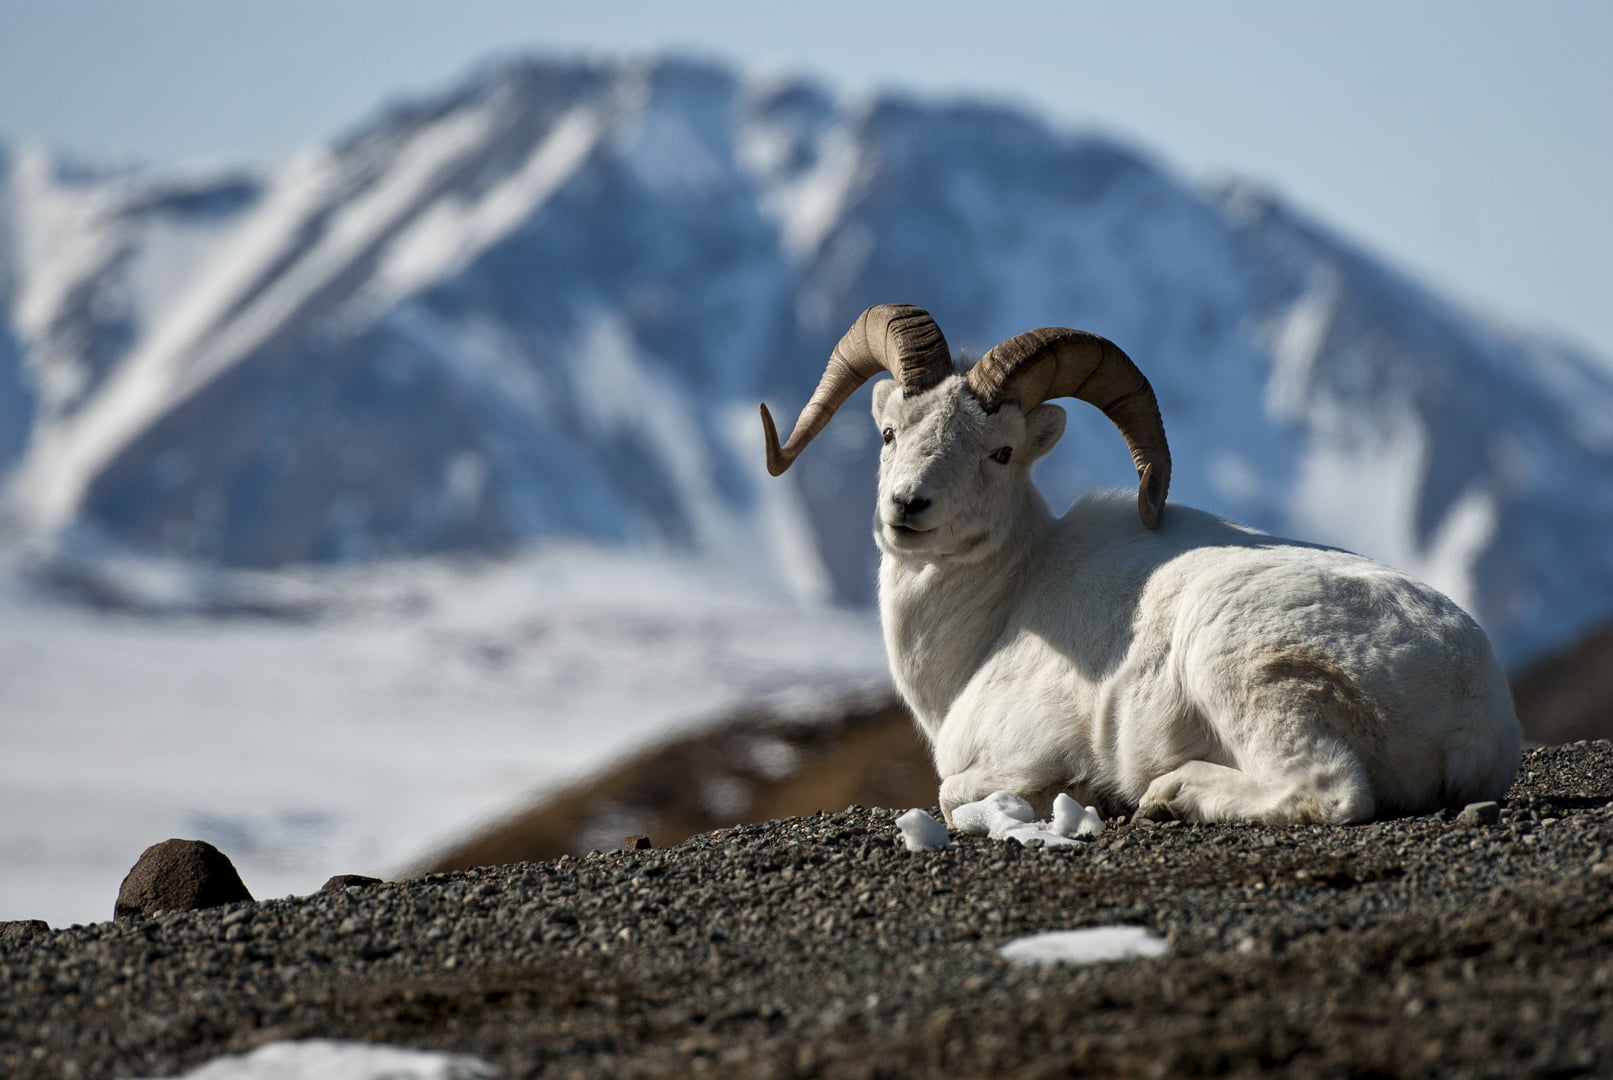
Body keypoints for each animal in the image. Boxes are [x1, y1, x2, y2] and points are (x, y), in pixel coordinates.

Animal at [761, 299, 1516, 825]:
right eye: (890, 434)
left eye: (1000, 452)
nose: (907, 507)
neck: (1002, 609)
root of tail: (1471, 702)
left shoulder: (1020, 752)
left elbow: (952, 794)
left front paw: (1083, 792)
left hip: (1247, 673)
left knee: (1328, 792)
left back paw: (1166, 795)